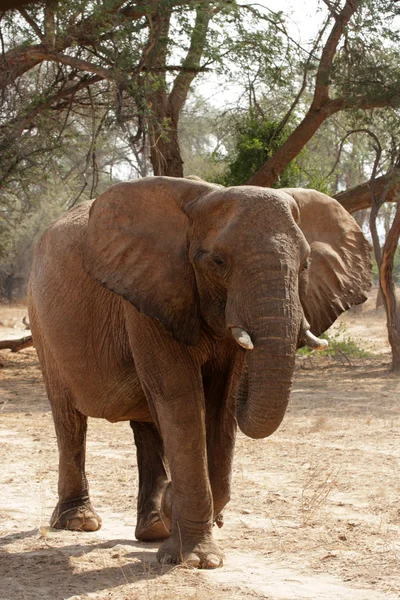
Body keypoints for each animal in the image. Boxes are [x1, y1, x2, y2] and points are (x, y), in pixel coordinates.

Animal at [28, 176, 372, 568]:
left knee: (147, 425)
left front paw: (176, 514)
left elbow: (221, 405)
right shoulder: (152, 293)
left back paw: (154, 528)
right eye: (218, 261)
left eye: (305, 265)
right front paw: (196, 559)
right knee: (69, 418)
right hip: (42, 321)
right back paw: (80, 522)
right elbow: (180, 397)